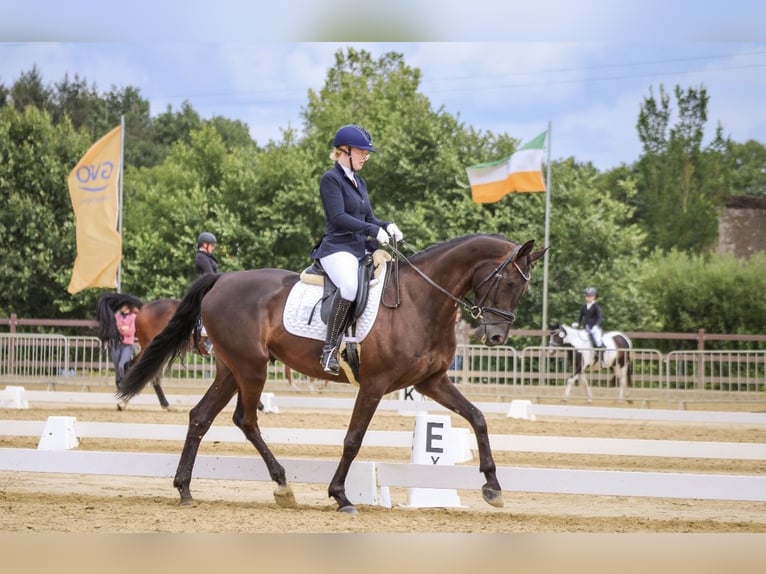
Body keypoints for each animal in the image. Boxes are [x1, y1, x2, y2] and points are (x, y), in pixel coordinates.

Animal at [117, 236, 548, 516]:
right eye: (510, 281)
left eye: (523, 289)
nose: (496, 337)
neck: (420, 301)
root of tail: (222, 279)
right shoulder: (374, 384)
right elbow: (353, 440)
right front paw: (341, 496)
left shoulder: (432, 381)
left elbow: (478, 417)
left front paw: (492, 487)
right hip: (251, 368)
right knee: (245, 419)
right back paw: (282, 485)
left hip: (230, 368)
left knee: (201, 417)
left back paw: (186, 489)